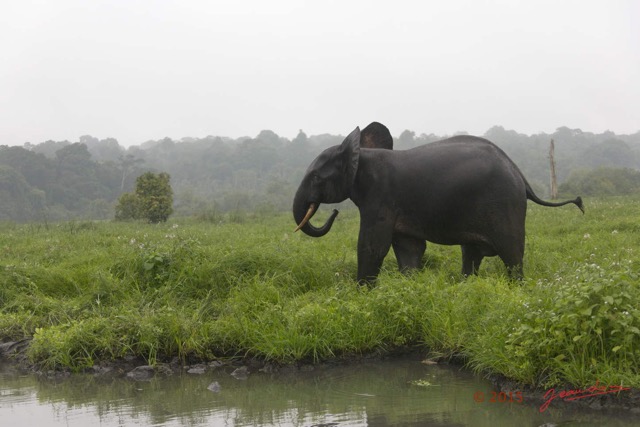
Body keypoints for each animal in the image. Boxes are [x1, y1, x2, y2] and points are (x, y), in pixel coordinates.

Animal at [292, 127, 584, 284]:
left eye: (316, 177)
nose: (333, 212)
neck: (361, 154)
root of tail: (520, 175)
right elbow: (409, 247)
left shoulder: (380, 197)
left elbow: (372, 246)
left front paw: (363, 293)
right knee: (472, 253)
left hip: (505, 205)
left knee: (511, 253)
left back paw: (516, 288)